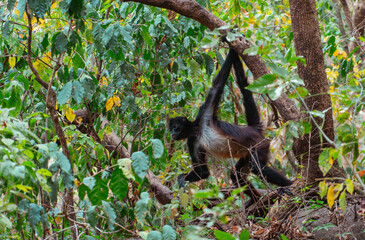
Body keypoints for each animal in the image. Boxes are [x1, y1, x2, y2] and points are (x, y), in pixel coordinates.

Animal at [169, 47, 292, 206]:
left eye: (176, 127)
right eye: (171, 128)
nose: (172, 133)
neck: (197, 129)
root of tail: (253, 129)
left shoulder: (205, 113)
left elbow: (218, 84)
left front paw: (231, 47)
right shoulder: (192, 141)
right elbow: (203, 173)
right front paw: (181, 179)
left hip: (260, 145)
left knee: (257, 169)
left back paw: (289, 186)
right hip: (247, 153)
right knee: (235, 174)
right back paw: (256, 201)